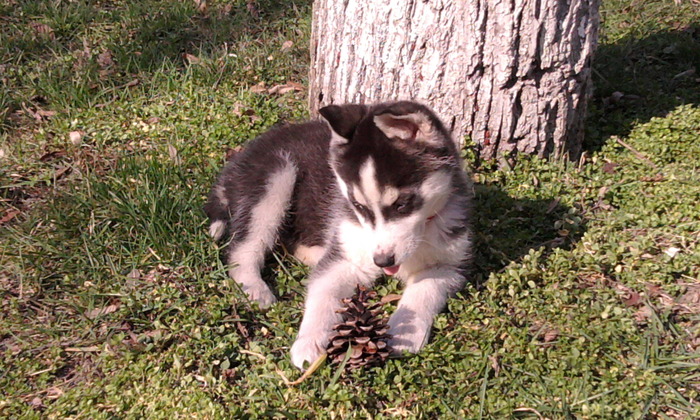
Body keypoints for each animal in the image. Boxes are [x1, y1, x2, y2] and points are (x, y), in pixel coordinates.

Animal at [205, 101, 474, 368]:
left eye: (402, 204)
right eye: (359, 207)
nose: (382, 261)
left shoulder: (449, 265)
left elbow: (425, 290)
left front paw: (404, 331)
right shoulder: (346, 256)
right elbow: (322, 294)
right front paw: (309, 342)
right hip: (276, 176)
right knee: (243, 247)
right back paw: (254, 288)